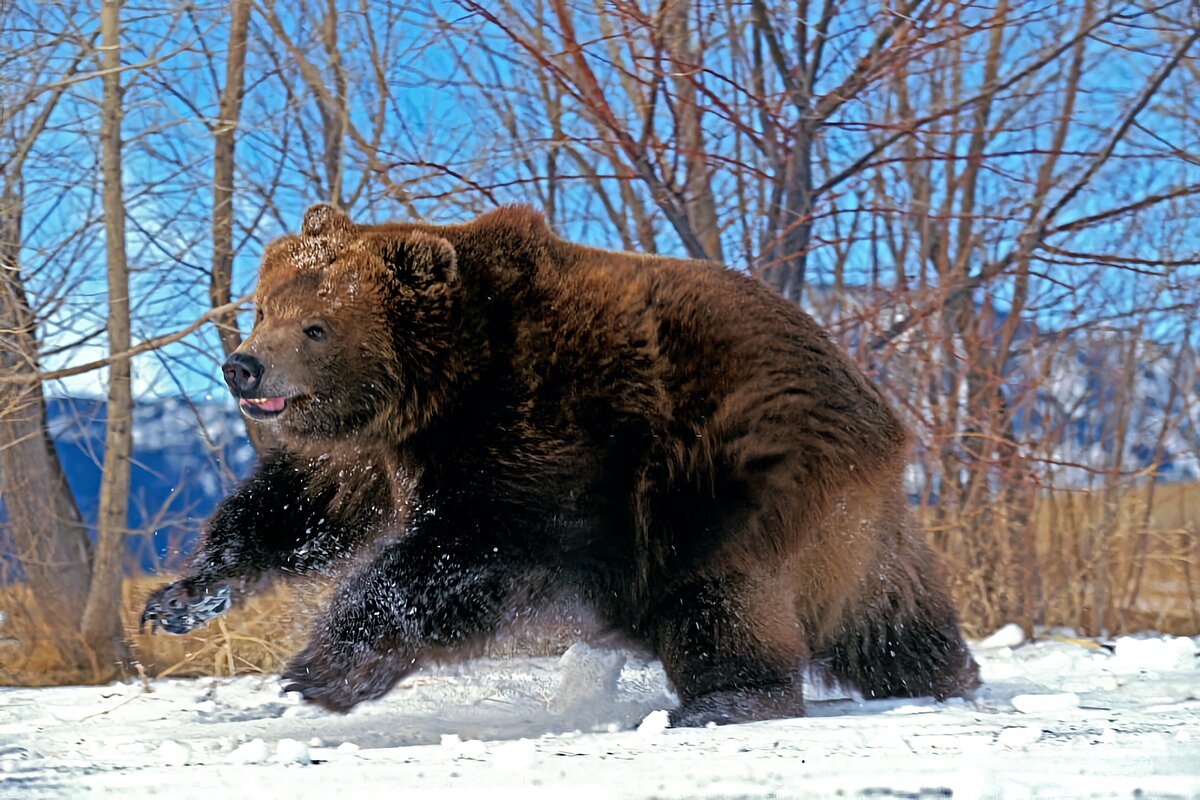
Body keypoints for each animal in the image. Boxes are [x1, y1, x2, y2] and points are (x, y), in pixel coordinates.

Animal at [142, 205, 984, 724]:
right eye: (264, 306)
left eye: (316, 326)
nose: (243, 366)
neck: (436, 391)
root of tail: (884, 416)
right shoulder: (367, 454)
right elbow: (299, 510)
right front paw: (184, 594)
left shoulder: (541, 431)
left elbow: (466, 553)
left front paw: (323, 665)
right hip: (851, 526)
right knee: (891, 610)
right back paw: (945, 672)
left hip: (740, 475)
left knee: (723, 597)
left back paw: (723, 700)